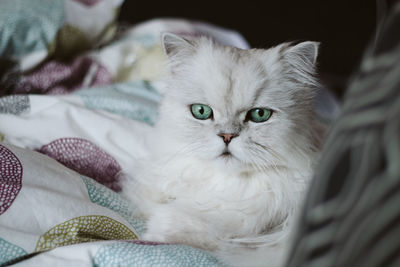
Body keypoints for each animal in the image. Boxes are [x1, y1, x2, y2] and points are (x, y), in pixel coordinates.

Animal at [121, 33, 324, 267]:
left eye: (260, 115)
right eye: (201, 111)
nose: (227, 136)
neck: (228, 188)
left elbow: (173, 225)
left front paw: (152, 234)